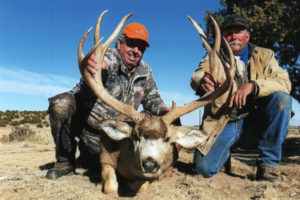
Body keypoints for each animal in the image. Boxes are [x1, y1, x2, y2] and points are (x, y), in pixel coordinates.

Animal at [77, 10, 234, 194]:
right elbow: (110, 186)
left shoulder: (160, 172)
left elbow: (141, 185)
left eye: (167, 138)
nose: (149, 163)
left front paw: (132, 182)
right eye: (135, 136)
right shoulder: (105, 157)